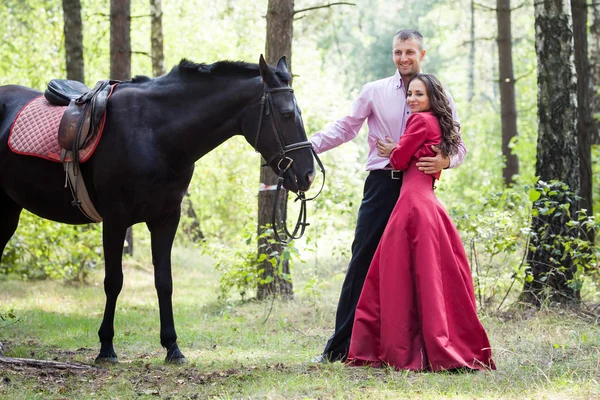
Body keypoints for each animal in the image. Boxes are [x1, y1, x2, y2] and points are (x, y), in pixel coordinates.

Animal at [0, 54, 316, 364]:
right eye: (287, 114)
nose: (309, 174)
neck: (153, 134)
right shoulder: (115, 220)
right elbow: (113, 281)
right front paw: (106, 347)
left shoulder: (166, 219)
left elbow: (164, 281)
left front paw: (172, 347)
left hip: (9, 210)